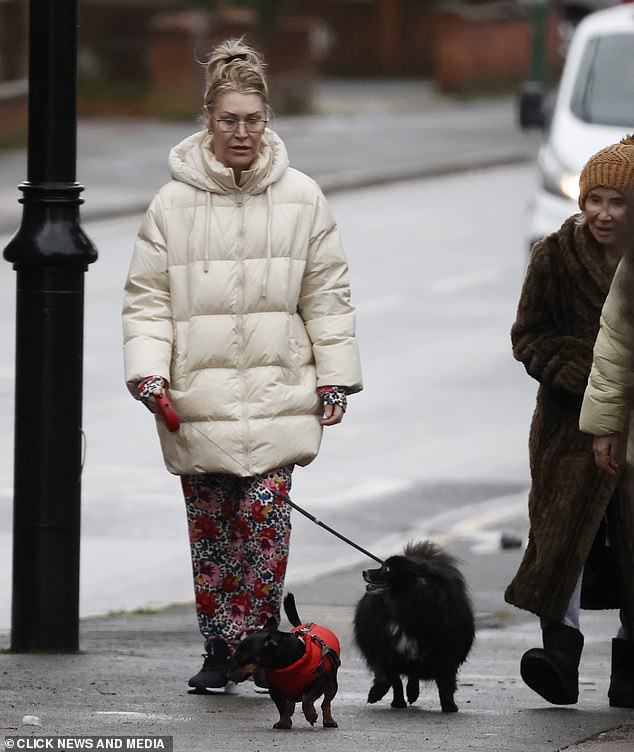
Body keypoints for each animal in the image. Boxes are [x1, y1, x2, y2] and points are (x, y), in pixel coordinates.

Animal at [354, 540, 472, 712]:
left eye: (387, 569)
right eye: (382, 565)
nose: (364, 572)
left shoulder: (446, 651)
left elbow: (446, 682)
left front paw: (449, 706)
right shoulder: (384, 649)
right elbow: (389, 678)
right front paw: (379, 695)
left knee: (414, 673)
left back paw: (412, 693)